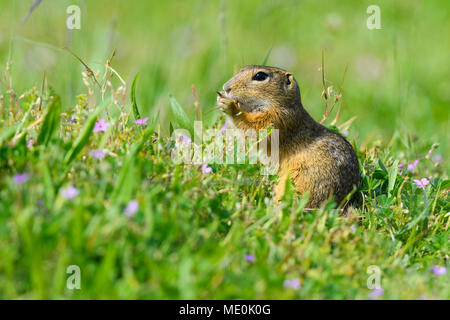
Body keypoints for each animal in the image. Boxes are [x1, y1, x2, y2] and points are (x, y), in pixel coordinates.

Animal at [216, 65, 360, 208]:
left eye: (260, 76)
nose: (225, 87)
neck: (282, 104)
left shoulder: (277, 119)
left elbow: (254, 127)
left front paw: (230, 105)